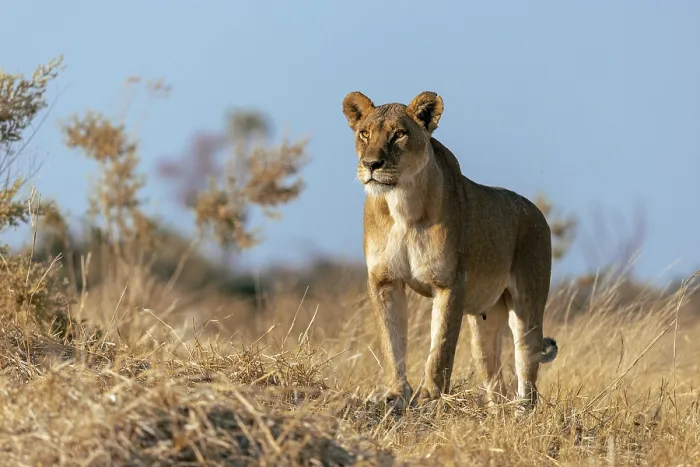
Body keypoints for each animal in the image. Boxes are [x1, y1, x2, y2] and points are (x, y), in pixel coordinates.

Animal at [341, 90, 559, 412]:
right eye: (364, 133)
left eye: (399, 134)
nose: (371, 164)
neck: (402, 205)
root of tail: (536, 211)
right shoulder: (384, 280)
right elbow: (391, 341)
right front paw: (395, 394)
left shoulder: (449, 282)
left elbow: (441, 346)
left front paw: (429, 397)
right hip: (484, 323)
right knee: (494, 379)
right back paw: (496, 412)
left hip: (528, 305)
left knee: (526, 370)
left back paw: (522, 412)